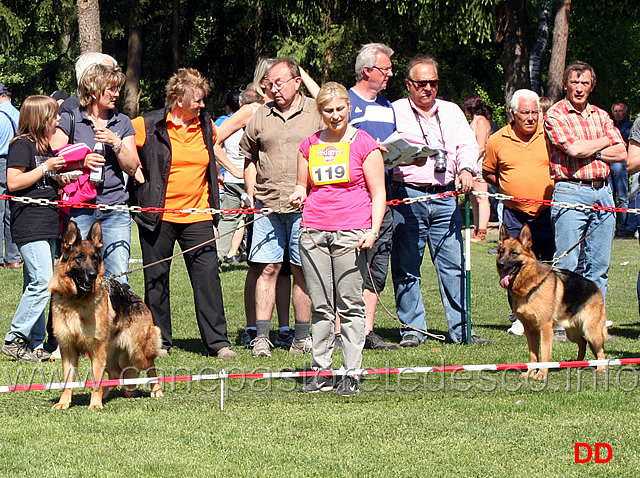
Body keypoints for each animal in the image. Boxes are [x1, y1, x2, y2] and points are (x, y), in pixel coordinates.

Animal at [50, 218, 165, 408]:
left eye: (95, 258)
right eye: (79, 257)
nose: (92, 274)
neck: (76, 301)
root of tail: (138, 299)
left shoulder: (96, 350)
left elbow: (96, 380)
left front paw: (95, 404)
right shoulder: (68, 349)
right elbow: (68, 381)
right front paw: (64, 403)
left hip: (137, 352)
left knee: (151, 367)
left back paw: (157, 391)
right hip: (111, 354)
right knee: (116, 373)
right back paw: (107, 394)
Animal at [498, 224, 608, 380]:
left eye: (514, 253)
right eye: (501, 252)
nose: (500, 264)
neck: (531, 284)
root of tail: (595, 286)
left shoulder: (545, 329)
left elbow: (544, 354)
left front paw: (541, 374)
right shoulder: (530, 330)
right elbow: (533, 356)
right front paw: (530, 373)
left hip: (591, 331)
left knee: (601, 350)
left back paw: (601, 368)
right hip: (572, 332)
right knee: (582, 343)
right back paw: (578, 363)